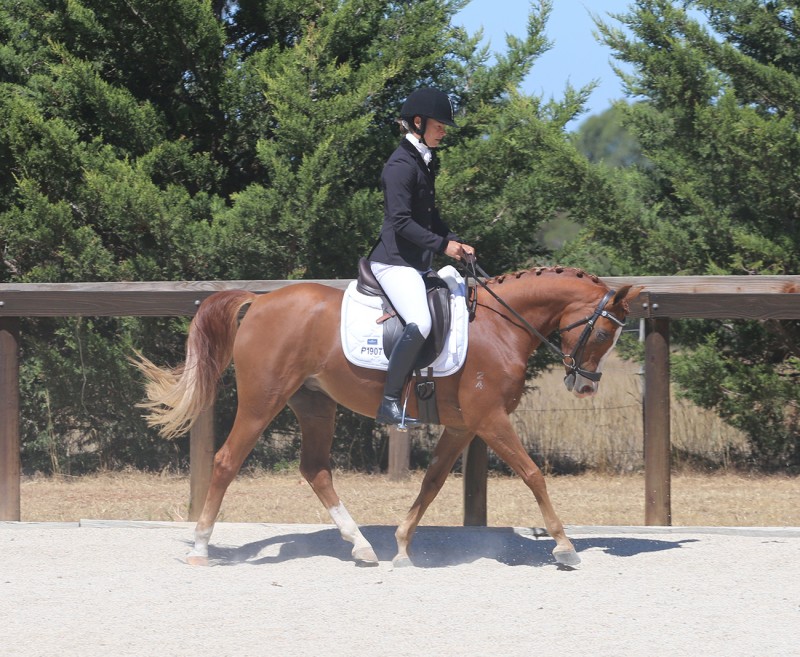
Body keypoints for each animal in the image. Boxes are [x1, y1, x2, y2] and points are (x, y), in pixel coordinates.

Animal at [134, 265, 641, 568]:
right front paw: (565, 546)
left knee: (315, 469)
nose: (586, 386)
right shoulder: (490, 419)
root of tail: (258, 302)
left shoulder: (463, 426)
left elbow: (432, 482)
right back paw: (201, 547)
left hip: (315, 404)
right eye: (603, 335)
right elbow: (533, 474)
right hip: (263, 400)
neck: (501, 325)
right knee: (225, 462)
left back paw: (361, 546)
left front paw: (400, 546)